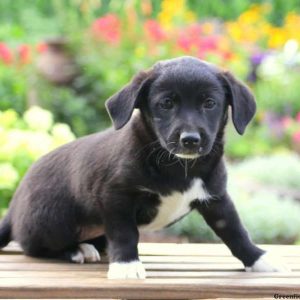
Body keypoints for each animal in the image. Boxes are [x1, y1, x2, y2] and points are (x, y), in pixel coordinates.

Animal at [0, 56, 288, 278]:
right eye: (166, 104)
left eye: (209, 103)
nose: (190, 140)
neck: (180, 167)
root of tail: (12, 209)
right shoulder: (115, 196)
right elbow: (125, 233)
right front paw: (126, 265)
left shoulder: (216, 198)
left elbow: (235, 230)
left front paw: (258, 260)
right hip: (53, 220)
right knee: (35, 247)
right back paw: (77, 250)